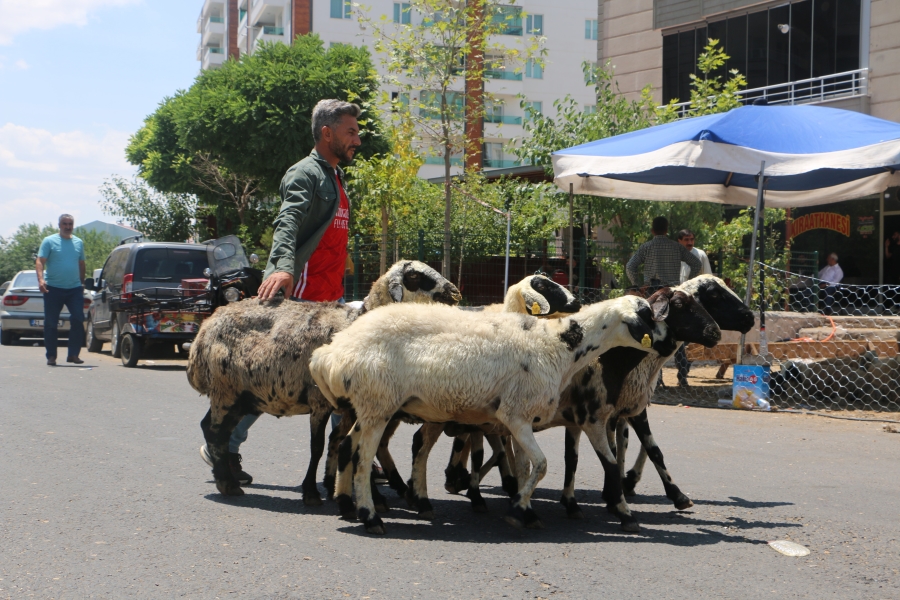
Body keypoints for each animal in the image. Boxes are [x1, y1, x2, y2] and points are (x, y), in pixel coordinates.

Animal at [310, 292, 704, 532]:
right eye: (648, 316)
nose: (668, 342)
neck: (559, 344)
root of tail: (330, 353)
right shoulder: (518, 414)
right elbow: (542, 465)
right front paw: (519, 510)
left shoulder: (517, 420)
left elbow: (526, 465)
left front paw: (521, 506)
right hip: (377, 403)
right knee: (363, 458)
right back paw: (370, 516)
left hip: (371, 406)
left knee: (348, 446)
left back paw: (353, 505)